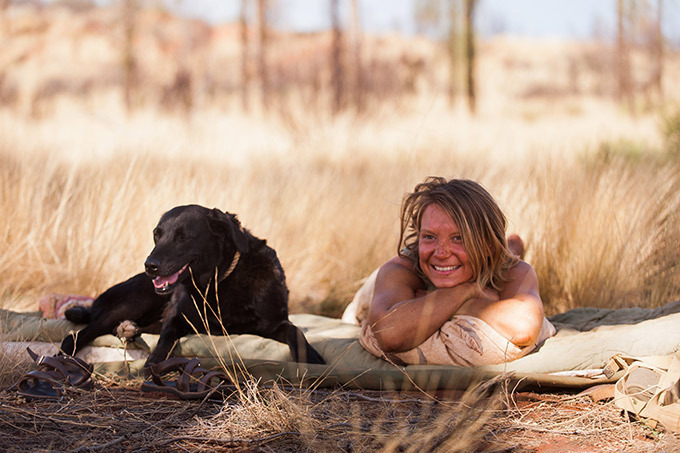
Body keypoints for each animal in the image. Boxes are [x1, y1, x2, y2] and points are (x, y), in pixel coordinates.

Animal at [59, 205, 326, 368]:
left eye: (183, 237)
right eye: (157, 234)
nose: (150, 265)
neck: (217, 282)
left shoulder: (274, 324)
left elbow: (296, 331)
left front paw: (311, 356)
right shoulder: (178, 317)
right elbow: (167, 335)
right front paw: (155, 360)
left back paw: (128, 330)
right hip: (134, 302)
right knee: (74, 336)